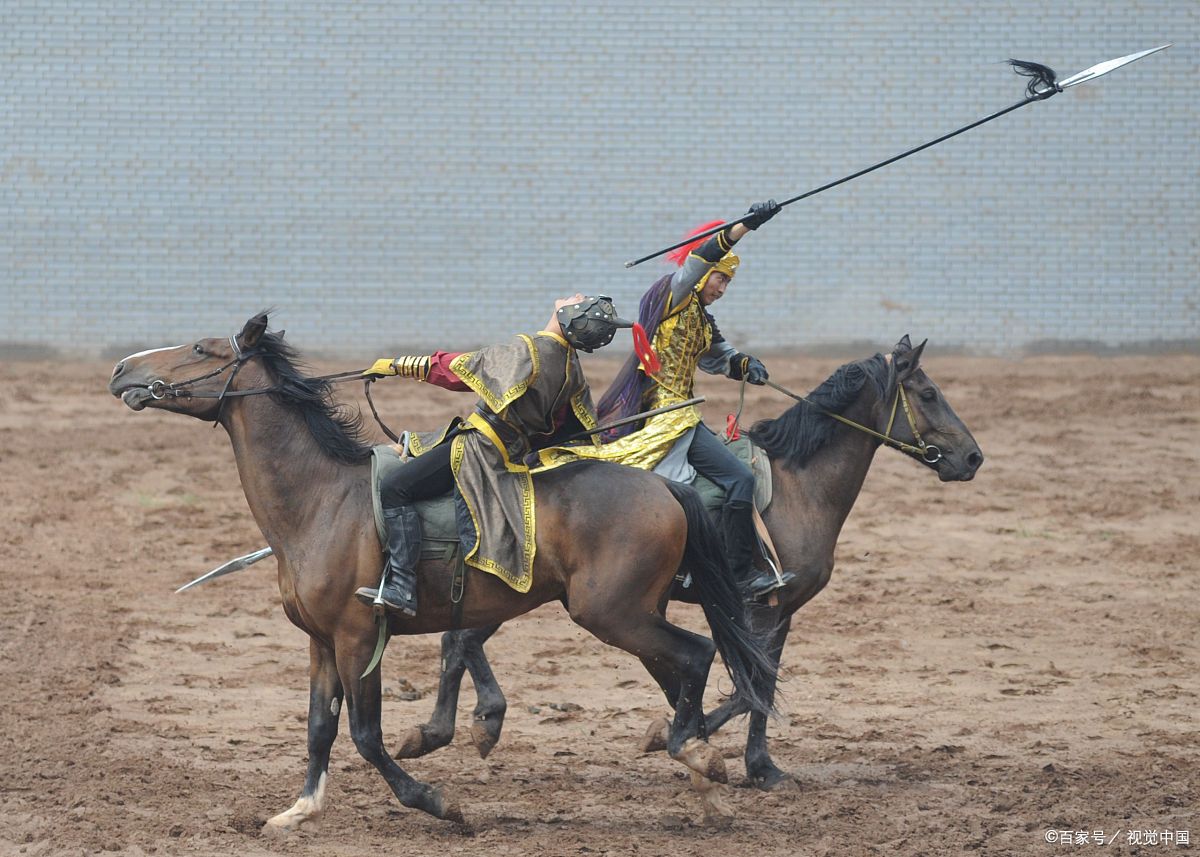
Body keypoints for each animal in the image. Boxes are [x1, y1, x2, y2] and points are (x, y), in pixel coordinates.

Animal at [105, 312, 777, 825]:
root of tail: (664, 487)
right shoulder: (321, 642)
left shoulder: (357, 638)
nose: (121, 369)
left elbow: (366, 734)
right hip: (636, 614)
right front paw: (300, 809)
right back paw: (704, 776)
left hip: (614, 615)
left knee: (695, 655)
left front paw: (433, 801)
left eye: (200, 349)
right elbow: (319, 728)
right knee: (682, 671)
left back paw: (695, 754)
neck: (322, 501)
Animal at [386, 333, 984, 787]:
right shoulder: (765, 607)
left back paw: (455, 727)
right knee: (462, 638)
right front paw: (741, 759)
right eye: (928, 393)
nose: (973, 457)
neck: (798, 486)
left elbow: (748, 683)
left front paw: (726, 750)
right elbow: (751, 686)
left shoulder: (764, 611)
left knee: (460, 638)